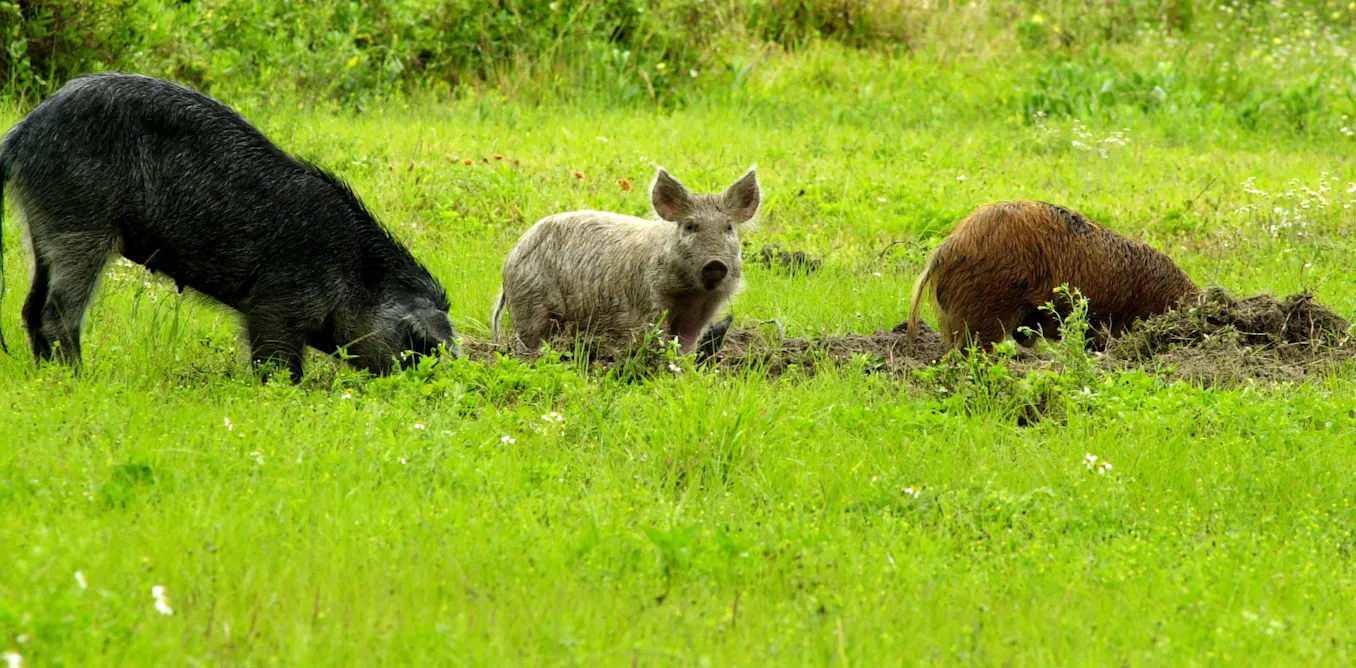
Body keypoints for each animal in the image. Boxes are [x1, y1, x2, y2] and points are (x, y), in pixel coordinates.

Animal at [0, 72, 458, 381]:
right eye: (415, 345)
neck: (356, 273)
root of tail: (21, 134)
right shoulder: (275, 301)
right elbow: (276, 359)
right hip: (80, 224)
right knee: (57, 311)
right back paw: (79, 379)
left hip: (41, 227)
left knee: (30, 306)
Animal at [492, 167, 760, 354]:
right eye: (690, 226)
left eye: (728, 227)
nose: (715, 263)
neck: (692, 295)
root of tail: (511, 257)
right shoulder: (649, 301)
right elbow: (656, 335)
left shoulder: (703, 311)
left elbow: (687, 344)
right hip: (530, 300)